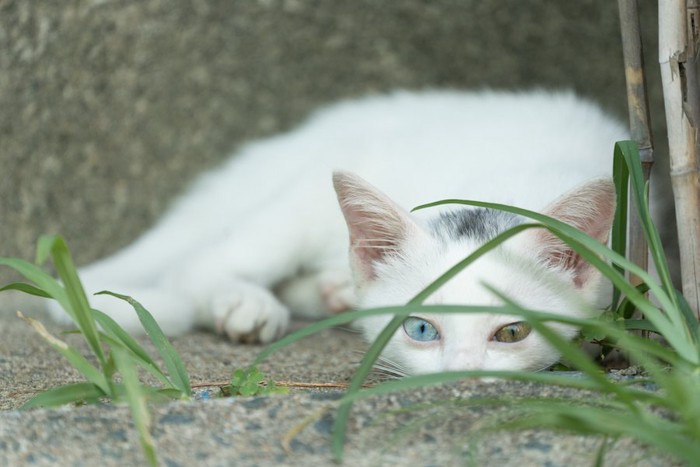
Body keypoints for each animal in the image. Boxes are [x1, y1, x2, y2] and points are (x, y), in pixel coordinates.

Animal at [49, 90, 628, 376]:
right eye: (422, 329)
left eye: (511, 333)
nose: (460, 373)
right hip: (309, 192)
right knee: (199, 267)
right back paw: (247, 303)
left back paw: (330, 292)